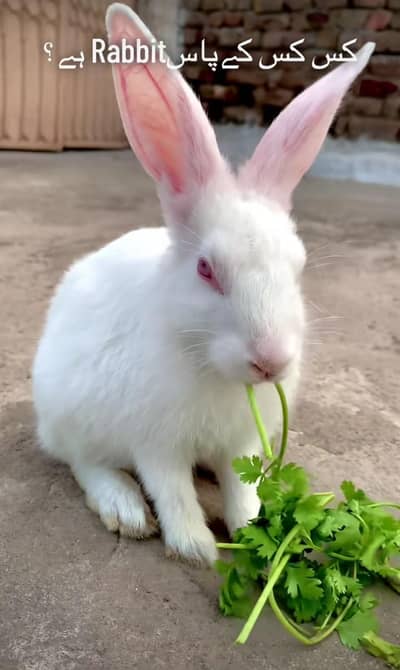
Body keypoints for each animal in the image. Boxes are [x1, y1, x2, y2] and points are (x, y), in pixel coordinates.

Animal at [32, 2, 375, 566]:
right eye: (206, 270)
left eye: (299, 265)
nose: (271, 361)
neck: (210, 366)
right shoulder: (156, 443)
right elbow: (172, 491)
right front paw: (197, 548)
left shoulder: (241, 445)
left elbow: (241, 489)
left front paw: (256, 528)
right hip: (71, 416)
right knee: (85, 463)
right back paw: (125, 509)